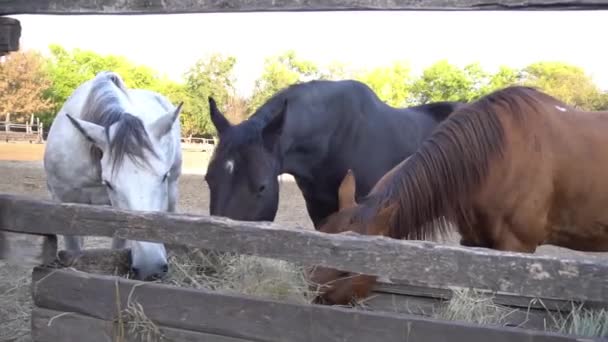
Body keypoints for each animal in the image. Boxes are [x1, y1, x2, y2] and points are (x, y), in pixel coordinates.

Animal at [308, 85, 608, 304]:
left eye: (346, 268)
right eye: (321, 231)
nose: (305, 289)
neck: (499, 157)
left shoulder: (516, 248)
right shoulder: (473, 243)